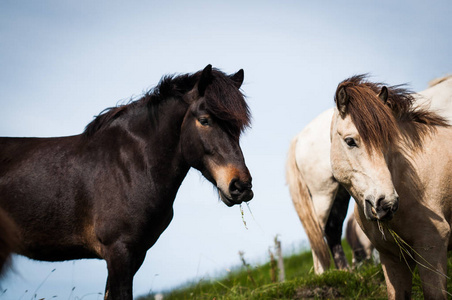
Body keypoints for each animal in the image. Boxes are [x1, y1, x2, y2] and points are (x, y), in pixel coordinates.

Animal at [0, 65, 254, 300]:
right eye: (204, 120)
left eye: (238, 127)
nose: (241, 186)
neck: (130, 166)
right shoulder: (118, 251)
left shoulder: (135, 253)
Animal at [286, 75, 452, 274]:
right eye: (350, 141)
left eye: (388, 140)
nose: (387, 203)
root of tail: (299, 137)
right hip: (322, 195)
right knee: (318, 236)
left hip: (339, 194)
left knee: (332, 229)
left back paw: (346, 272)